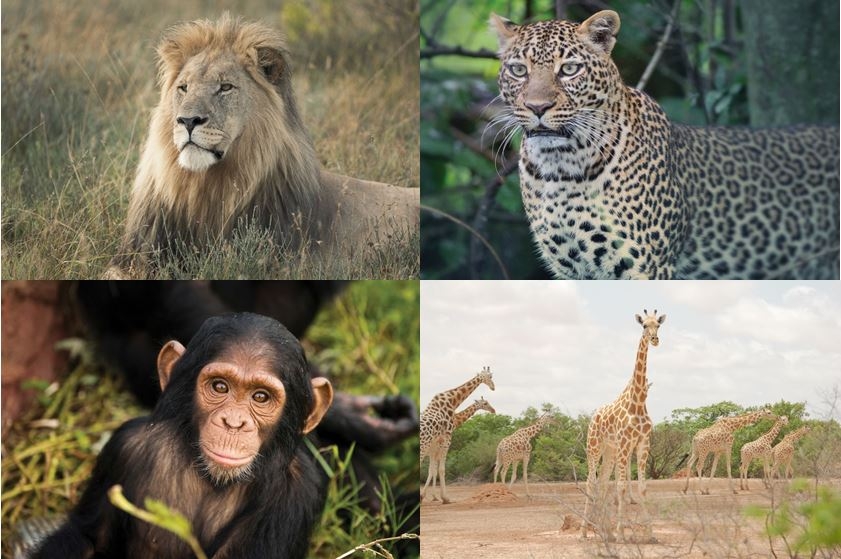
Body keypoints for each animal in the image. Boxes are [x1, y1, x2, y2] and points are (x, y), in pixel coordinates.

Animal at [420, 367, 495, 503]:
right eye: (485, 403)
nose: (493, 387)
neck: (452, 401)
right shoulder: (446, 439)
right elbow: (440, 469)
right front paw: (444, 498)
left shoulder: (435, 447)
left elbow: (432, 470)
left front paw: (432, 496)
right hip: (423, 446)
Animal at [491, 10, 839, 279]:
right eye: (519, 70)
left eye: (569, 69)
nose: (537, 107)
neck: (560, 166)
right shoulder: (572, 270)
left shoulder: (645, 266)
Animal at [581, 309, 666, 539]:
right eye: (644, 325)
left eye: (658, 325)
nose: (654, 339)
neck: (638, 402)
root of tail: (593, 417)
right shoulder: (626, 443)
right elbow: (620, 487)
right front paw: (621, 532)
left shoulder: (643, 443)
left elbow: (642, 487)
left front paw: (650, 533)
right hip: (594, 447)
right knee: (590, 482)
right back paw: (584, 532)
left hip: (610, 450)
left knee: (601, 483)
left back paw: (606, 532)